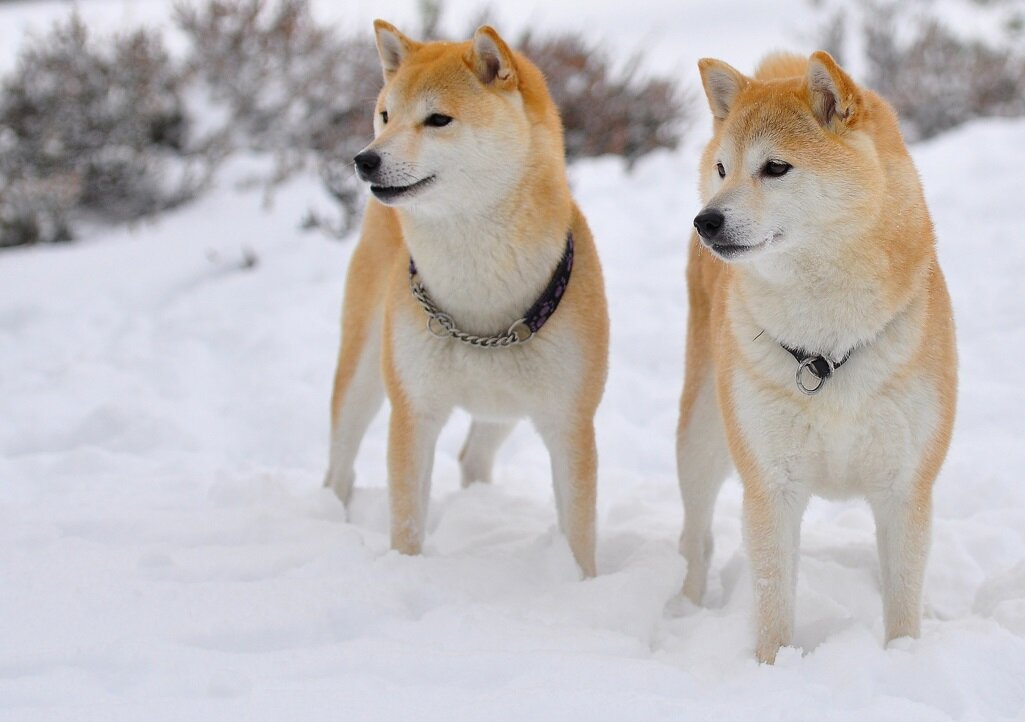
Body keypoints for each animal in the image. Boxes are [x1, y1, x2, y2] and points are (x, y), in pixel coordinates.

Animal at [321, 21, 606, 574]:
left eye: (437, 119)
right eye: (386, 114)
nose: (365, 159)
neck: (479, 306)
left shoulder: (569, 422)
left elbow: (580, 536)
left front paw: (581, 585)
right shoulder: (414, 412)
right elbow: (407, 522)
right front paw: (404, 571)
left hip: (509, 406)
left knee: (473, 457)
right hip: (363, 373)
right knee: (339, 467)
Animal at [676, 49, 955, 660]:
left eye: (775, 168)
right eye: (724, 169)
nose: (706, 220)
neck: (826, 351)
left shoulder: (905, 488)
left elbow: (903, 599)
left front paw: (905, 660)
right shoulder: (771, 487)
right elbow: (774, 603)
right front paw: (774, 668)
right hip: (701, 441)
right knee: (696, 540)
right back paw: (682, 609)